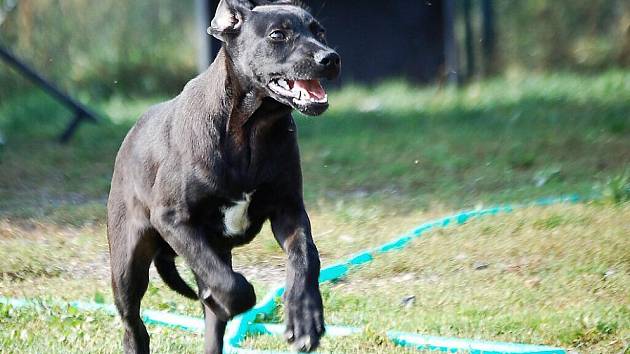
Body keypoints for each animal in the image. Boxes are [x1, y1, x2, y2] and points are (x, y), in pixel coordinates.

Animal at [106, 0, 340, 354]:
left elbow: (306, 257)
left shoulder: (288, 210)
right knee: (133, 324)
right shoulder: (173, 219)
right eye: (278, 35)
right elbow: (233, 287)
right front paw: (236, 298)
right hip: (128, 262)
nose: (331, 58)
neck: (252, 129)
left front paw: (305, 317)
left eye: (321, 32)